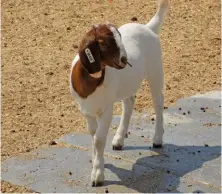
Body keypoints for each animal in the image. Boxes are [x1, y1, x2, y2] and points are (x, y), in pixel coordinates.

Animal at [70, 0, 169, 186]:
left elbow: (99, 139)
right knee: (129, 102)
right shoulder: (86, 110)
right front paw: (97, 162)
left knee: (158, 102)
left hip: (155, 71)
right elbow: (93, 135)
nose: (124, 59)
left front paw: (98, 175)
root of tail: (149, 28)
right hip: (127, 85)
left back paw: (157, 140)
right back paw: (118, 140)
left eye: (119, 37)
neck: (91, 84)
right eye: (102, 42)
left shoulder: (106, 109)